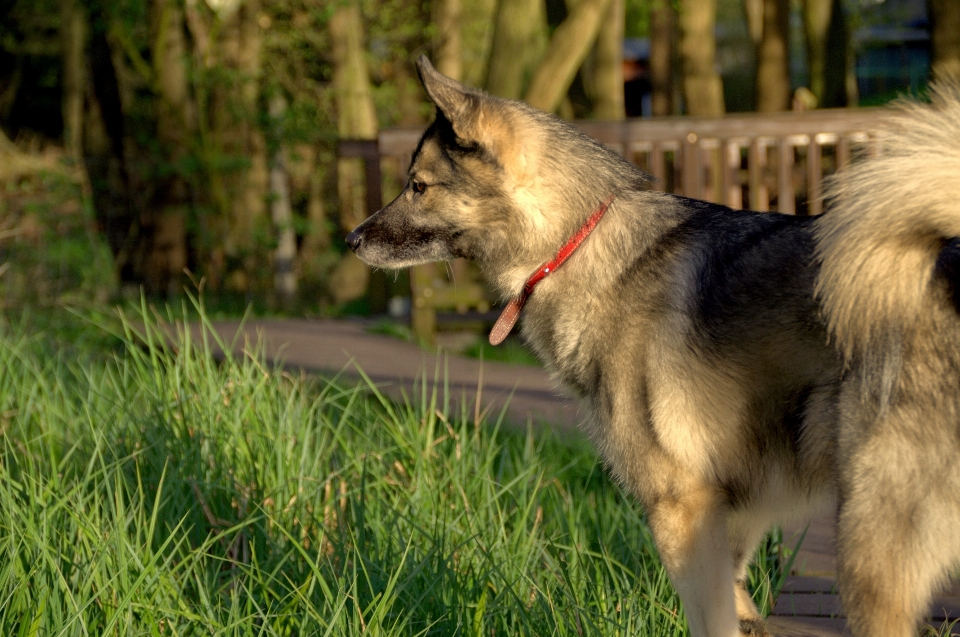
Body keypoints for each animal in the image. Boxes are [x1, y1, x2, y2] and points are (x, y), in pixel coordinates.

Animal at [348, 56, 960, 636]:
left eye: (418, 186)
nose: (351, 239)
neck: (578, 241)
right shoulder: (733, 510)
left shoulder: (681, 509)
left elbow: (710, 620)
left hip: (868, 547)